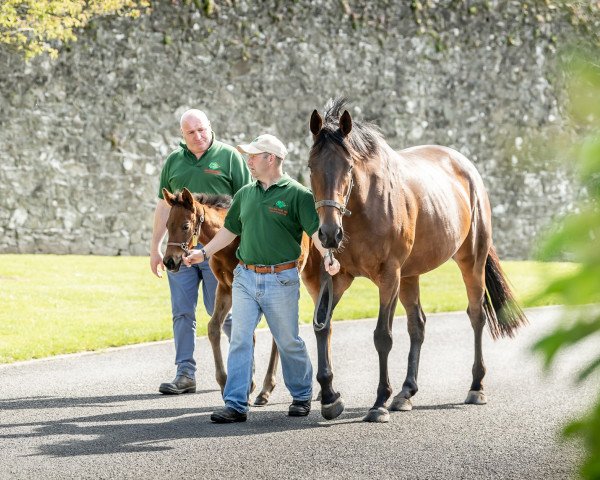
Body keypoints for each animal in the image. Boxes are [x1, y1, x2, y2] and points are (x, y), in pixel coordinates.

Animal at [302, 99, 528, 422]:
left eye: (348, 167)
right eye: (311, 167)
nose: (330, 234)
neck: (365, 209)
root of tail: (467, 167)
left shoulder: (389, 276)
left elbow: (382, 336)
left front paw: (379, 402)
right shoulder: (338, 277)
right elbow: (323, 326)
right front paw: (330, 396)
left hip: (470, 261)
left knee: (476, 315)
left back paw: (476, 386)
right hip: (410, 276)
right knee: (417, 324)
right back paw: (406, 392)